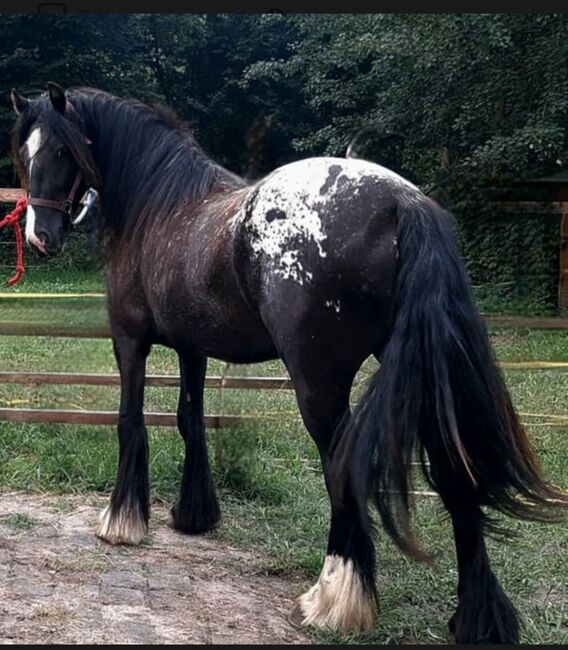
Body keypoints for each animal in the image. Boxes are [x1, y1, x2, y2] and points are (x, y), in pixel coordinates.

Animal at [10, 82, 567, 643]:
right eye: (24, 154)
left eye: (58, 151)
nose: (40, 236)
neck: (160, 207)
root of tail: (400, 202)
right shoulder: (192, 347)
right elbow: (191, 420)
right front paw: (194, 514)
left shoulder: (129, 340)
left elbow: (131, 421)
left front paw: (122, 523)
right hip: (425, 374)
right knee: (456, 469)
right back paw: (477, 617)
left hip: (319, 383)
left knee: (342, 463)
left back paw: (334, 599)